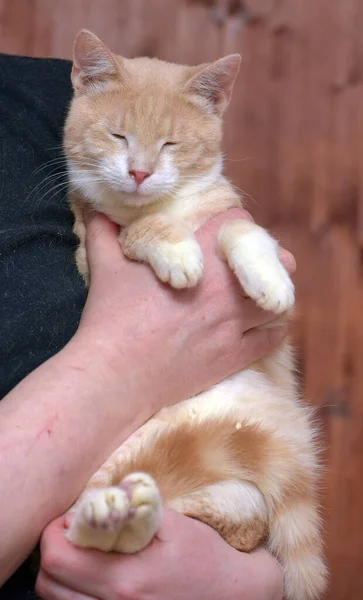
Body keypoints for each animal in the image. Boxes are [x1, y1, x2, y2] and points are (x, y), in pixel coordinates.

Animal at [61, 31, 328, 600]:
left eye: (171, 144)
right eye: (118, 135)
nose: (140, 172)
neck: (166, 209)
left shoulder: (228, 217)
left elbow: (241, 232)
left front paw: (268, 278)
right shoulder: (89, 251)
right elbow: (138, 233)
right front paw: (177, 253)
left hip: (235, 494)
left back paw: (130, 512)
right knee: (92, 524)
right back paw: (111, 515)